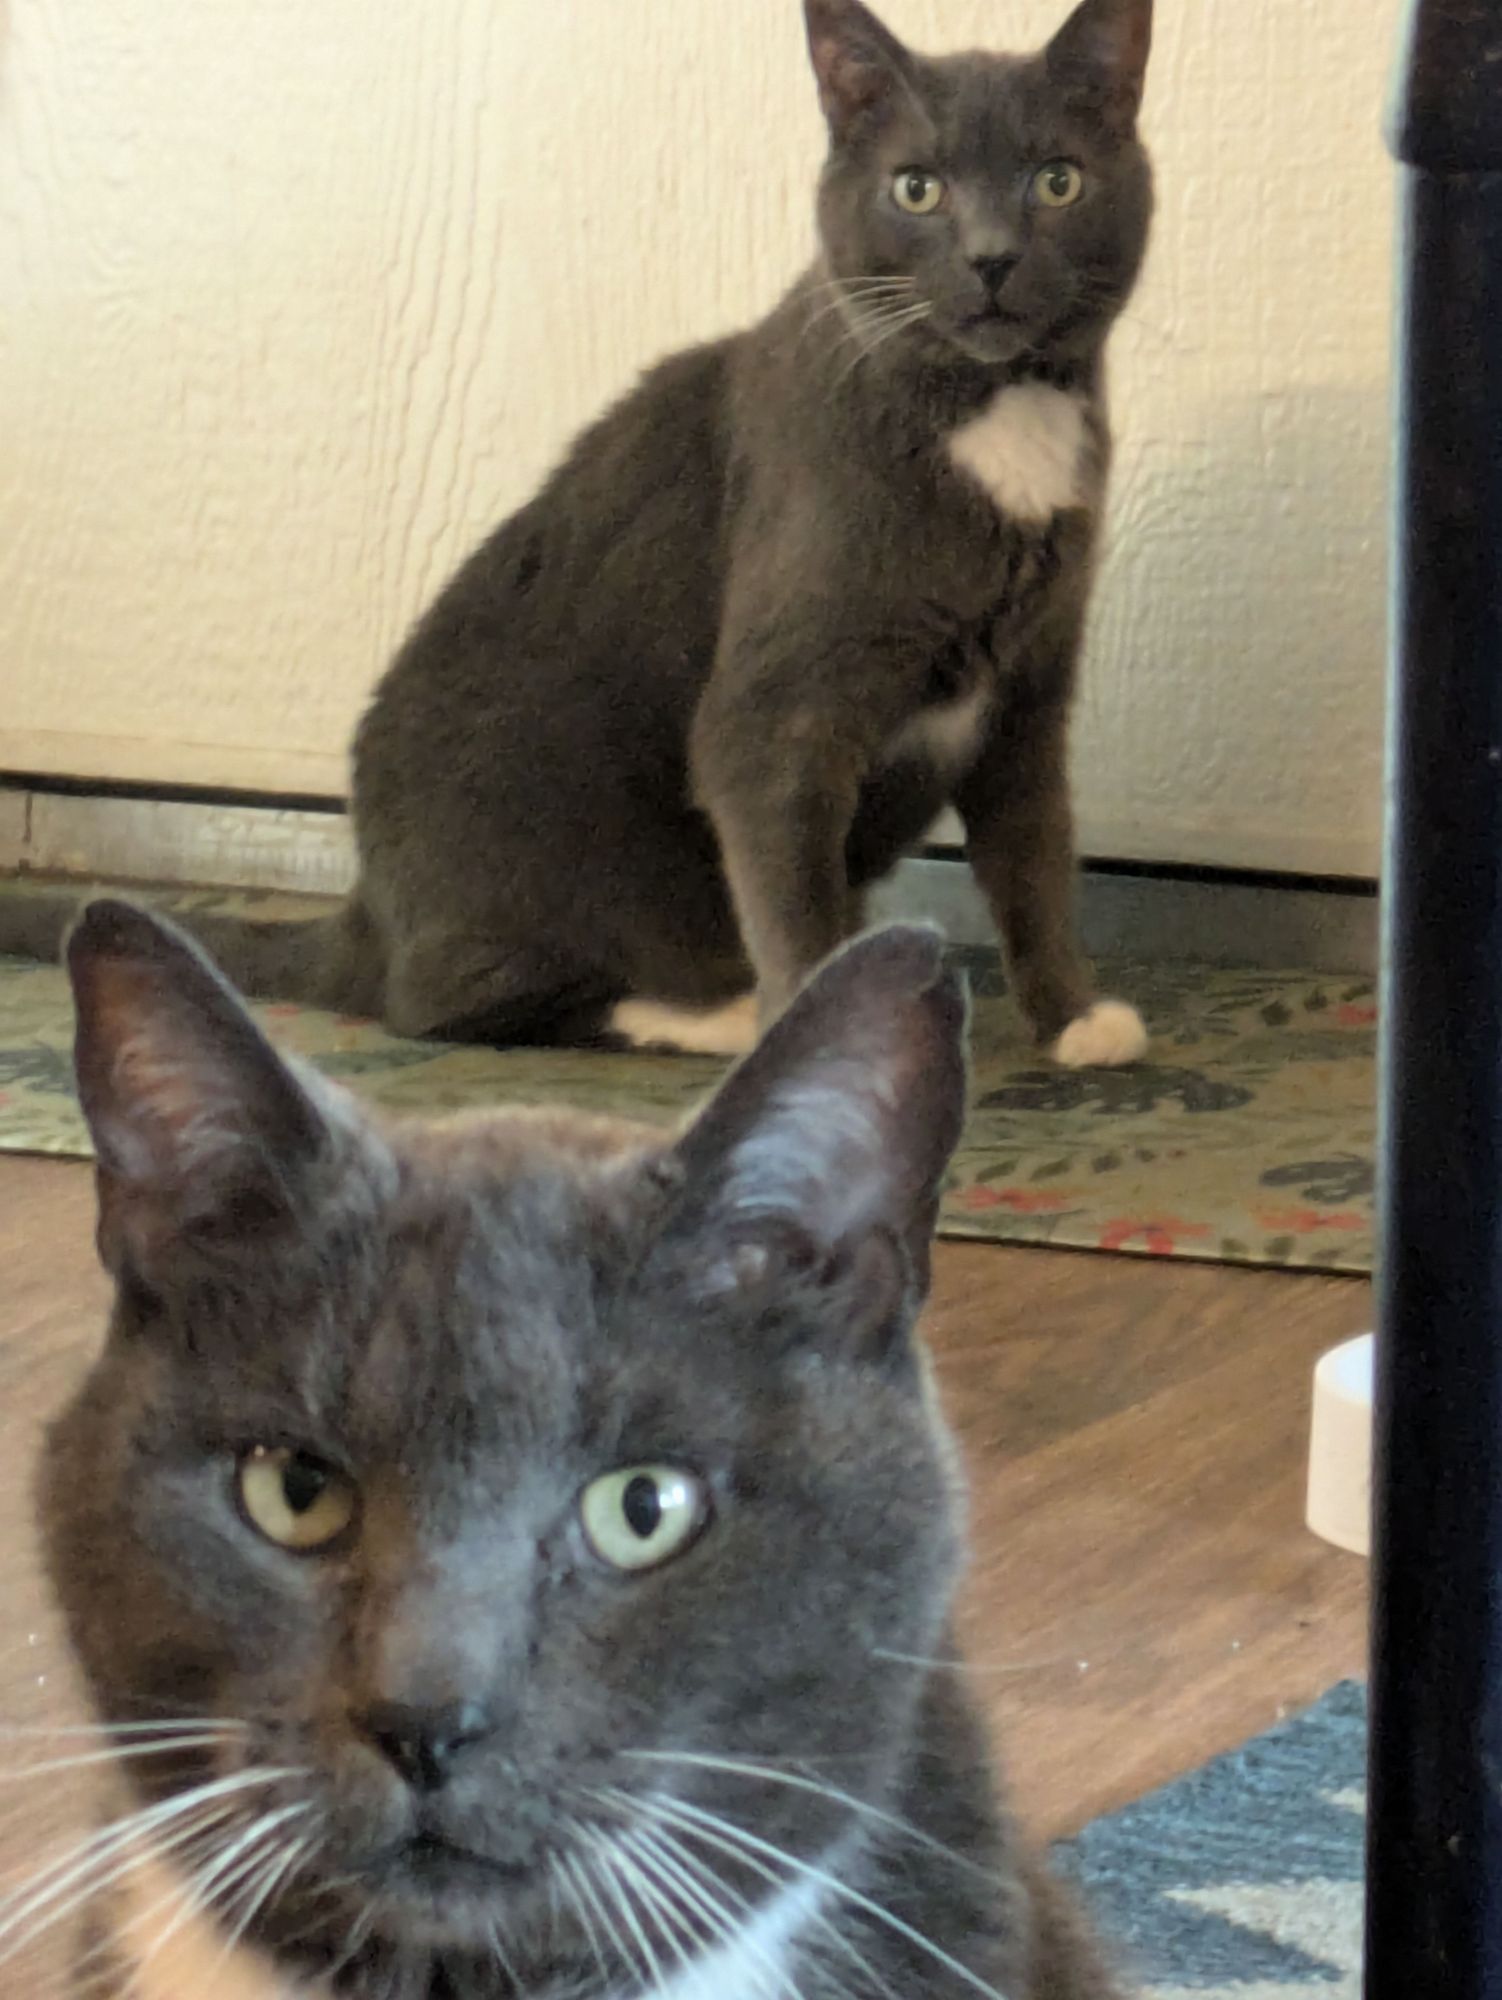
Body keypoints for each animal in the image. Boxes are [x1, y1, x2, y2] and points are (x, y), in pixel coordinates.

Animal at [0, 0, 1160, 1080]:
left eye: (1055, 182)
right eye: (916, 189)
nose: (991, 258)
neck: (998, 416)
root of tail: (366, 912)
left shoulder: (1026, 692)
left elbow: (1033, 861)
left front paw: (1071, 1016)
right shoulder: (775, 711)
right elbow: (789, 892)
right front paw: (824, 1039)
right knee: (454, 1005)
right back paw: (710, 1013)